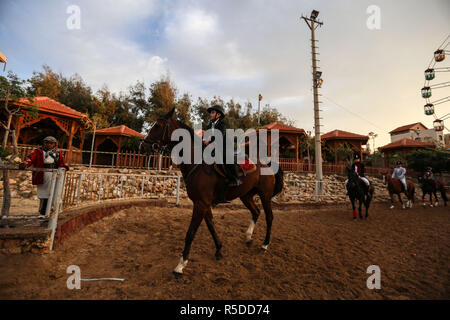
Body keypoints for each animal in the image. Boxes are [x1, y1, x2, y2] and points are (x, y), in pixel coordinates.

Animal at [139, 107, 284, 278]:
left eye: (158, 126)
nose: (143, 146)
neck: (196, 163)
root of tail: (267, 163)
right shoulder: (204, 204)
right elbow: (211, 226)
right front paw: (219, 250)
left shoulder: (200, 204)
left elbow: (191, 233)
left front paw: (180, 265)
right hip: (246, 196)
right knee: (256, 212)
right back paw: (248, 237)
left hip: (265, 195)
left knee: (269, 217)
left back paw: (265, 245)